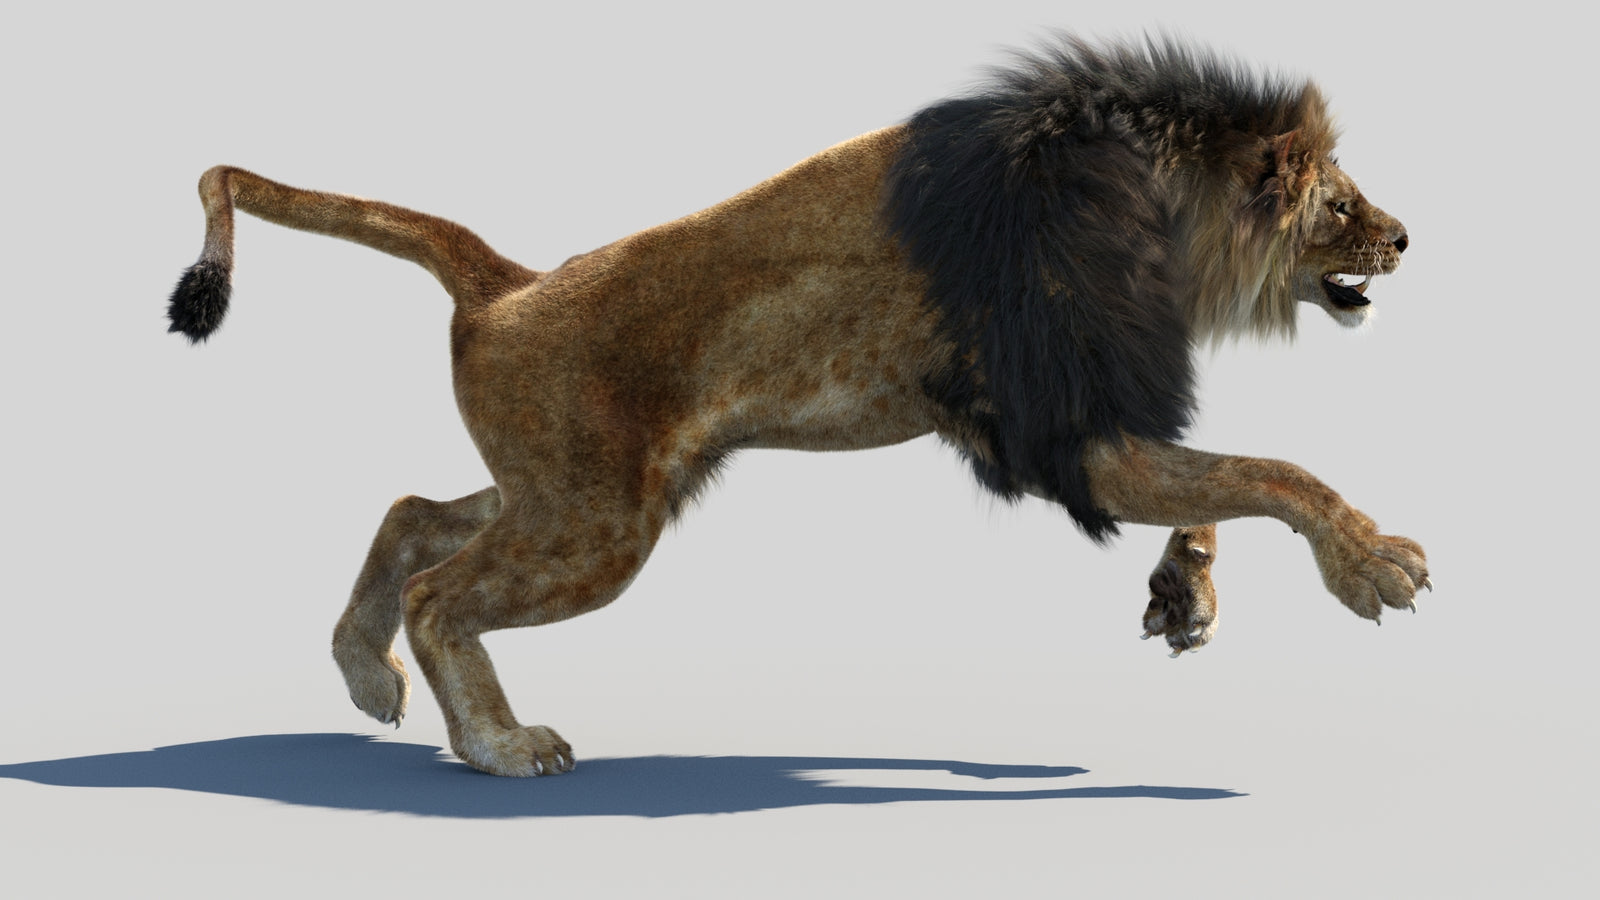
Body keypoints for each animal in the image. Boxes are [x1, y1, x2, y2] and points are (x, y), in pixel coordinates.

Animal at [165, 37, 1428, 777]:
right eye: (1339, 202)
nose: (1405, 237)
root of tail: (506, 283)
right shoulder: (1053, 424)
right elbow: (1272, 471)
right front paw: (1376, 564)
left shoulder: (1075, 420)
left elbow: (1220, 480)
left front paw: (1183, 593)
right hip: (595, 528)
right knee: (439, 588)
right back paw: (496, 743)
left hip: (574, 490)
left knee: (412, 511)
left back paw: (362, 672)